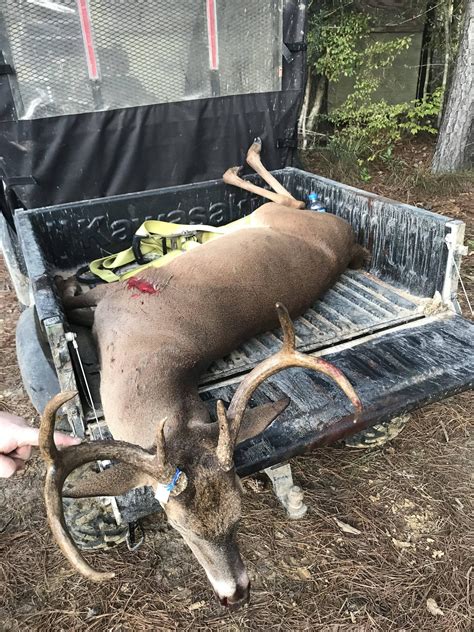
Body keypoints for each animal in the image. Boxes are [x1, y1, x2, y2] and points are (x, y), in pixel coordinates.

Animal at [40, 142, 366, 608]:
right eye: (178, 525)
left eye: (240, 513)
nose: (236, 593)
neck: (142, 358)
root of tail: (349, 240)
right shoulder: (114, 294)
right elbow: (72, 302)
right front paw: (65, 285)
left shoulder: (116, 293)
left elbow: (71, 299)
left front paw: (63, 283)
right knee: (293, 202)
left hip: (279, 216)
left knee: (294, 201)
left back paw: (242, 161)